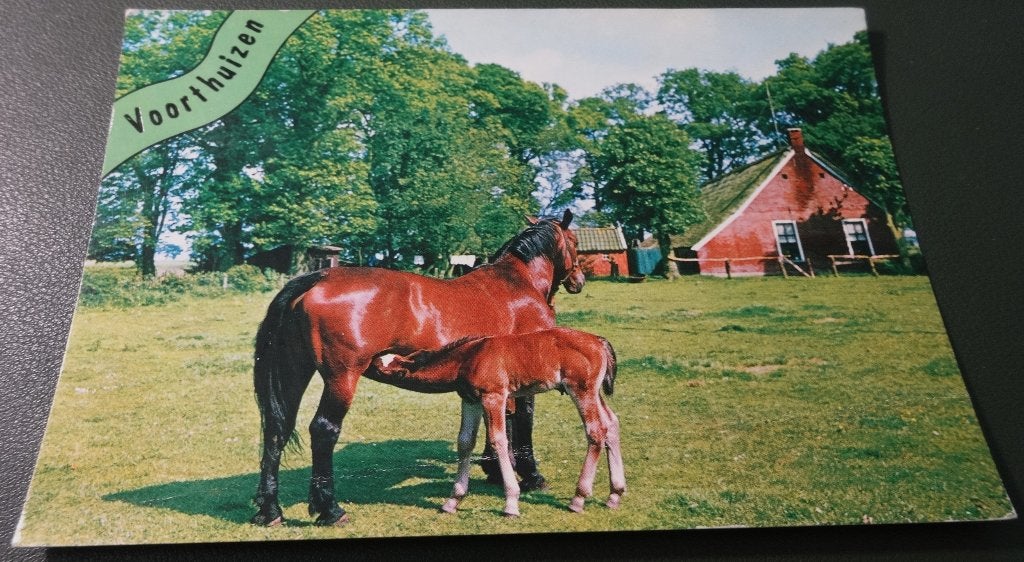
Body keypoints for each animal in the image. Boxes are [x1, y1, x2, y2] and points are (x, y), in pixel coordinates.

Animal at [251, 210, 585, 526]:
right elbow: (524, 421)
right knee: (323, 430)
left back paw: (269, 511)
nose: (579, 280)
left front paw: (494, 469)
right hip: (342, 377)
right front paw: (531, 476)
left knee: (277, 430)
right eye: (575, 242)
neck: (517, 283)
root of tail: (316, 278)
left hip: (295, 372)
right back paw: (330, 509)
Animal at [371, 327, 625, 517]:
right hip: (594, 392)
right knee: (611, 423)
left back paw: (578, 498)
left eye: (379, 367)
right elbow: (465, 442)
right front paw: (453, 501)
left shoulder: (494, 397)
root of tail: (599, 341)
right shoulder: (470, 400)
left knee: (596, 431)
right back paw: (615, 494)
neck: (469, 357)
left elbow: (499, 440)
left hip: (581, 390)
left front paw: (511, 503)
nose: (367, 361)